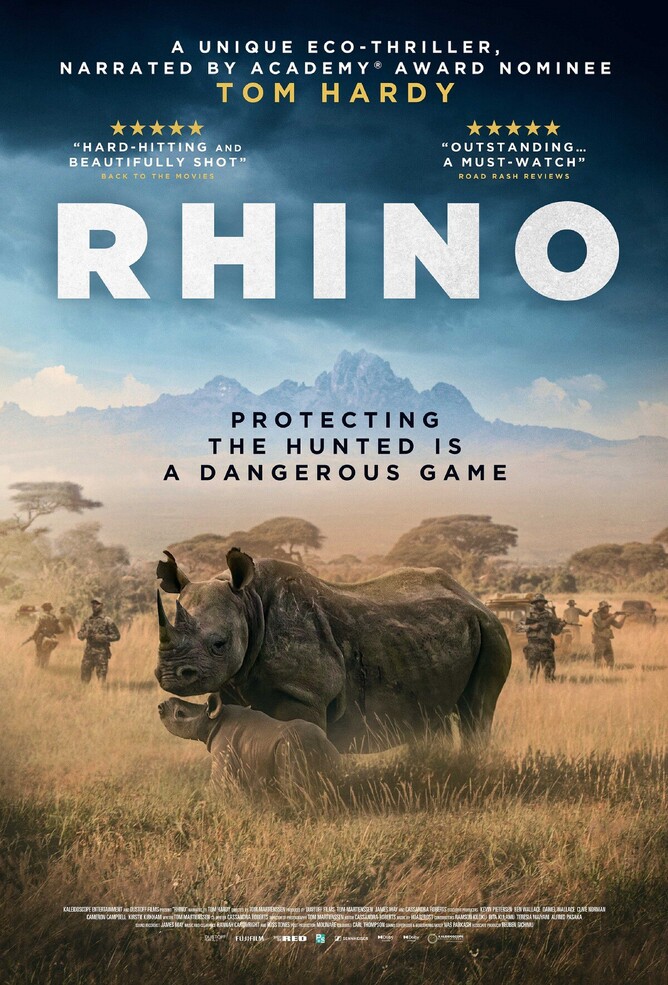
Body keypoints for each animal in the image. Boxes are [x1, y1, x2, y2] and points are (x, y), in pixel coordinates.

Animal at [155, 548, 511, 752]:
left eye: (220, 645)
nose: (171, 675)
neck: (248, 602)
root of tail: (474, 599)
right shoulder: (234, 685)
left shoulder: (303, 693)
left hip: (492, 632)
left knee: (477, 710)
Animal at [159, 693, 341, 792]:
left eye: (180, 713)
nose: (160, 706)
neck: (213, 721)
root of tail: (321, 742)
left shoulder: (223, 752)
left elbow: (217, 786)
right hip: (327, 751)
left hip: (291, 749)